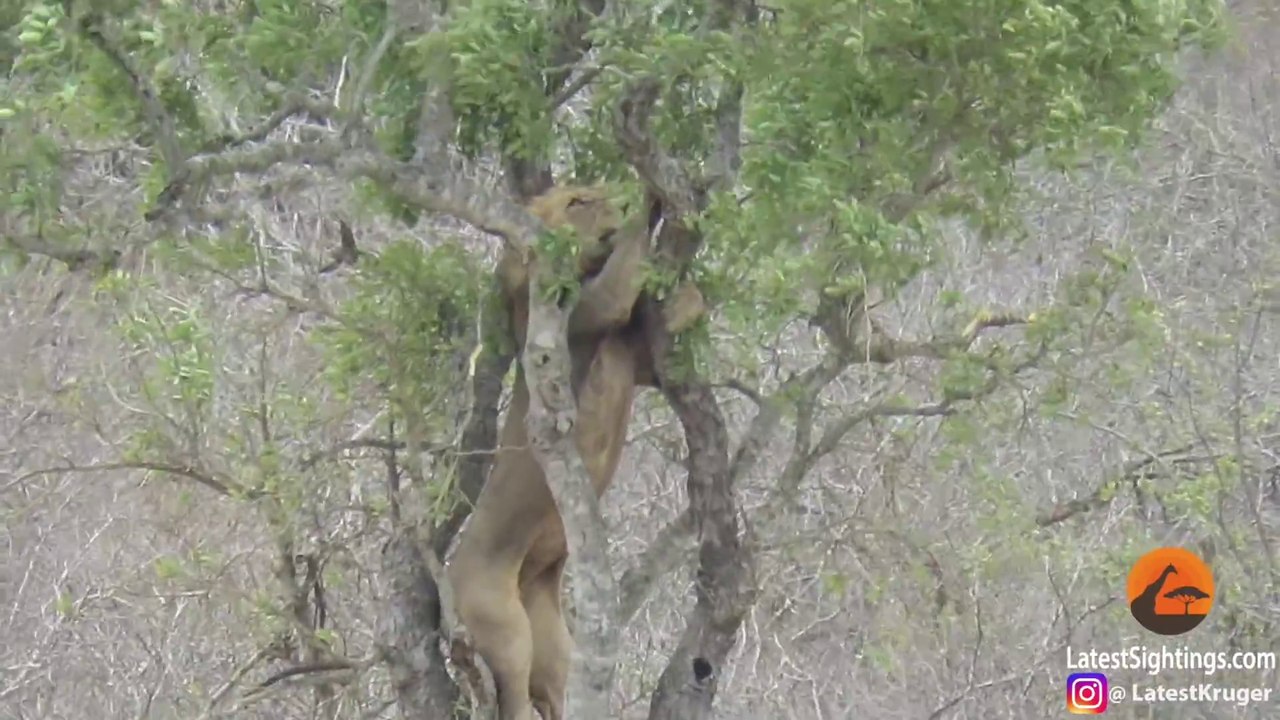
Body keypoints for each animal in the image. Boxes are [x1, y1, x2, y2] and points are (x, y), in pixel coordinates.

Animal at [447, 185, 704, 720]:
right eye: (578, 201)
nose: (611, 199)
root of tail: (448, 580)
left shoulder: (640, 359)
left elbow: (681, 307)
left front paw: (689, 290)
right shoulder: (591, 312)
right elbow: (623, 269)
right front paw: (645, 202)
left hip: (551, 636)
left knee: (558, 687)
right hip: (503, 627)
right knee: (513, 696)